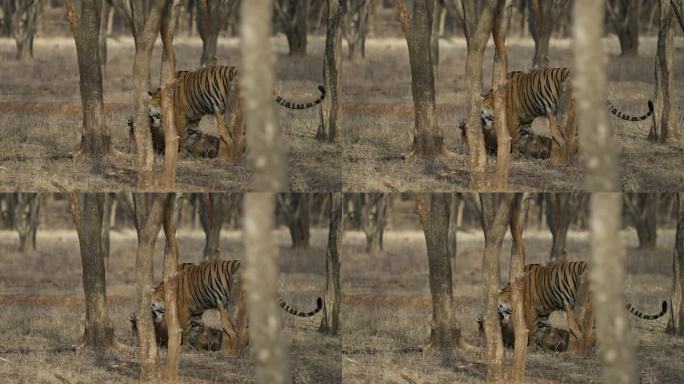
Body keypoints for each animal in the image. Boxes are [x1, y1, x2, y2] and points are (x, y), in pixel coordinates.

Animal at [145, 65, 326, 154]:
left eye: (148, 112)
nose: (148, 120)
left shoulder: (180, 116)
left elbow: (182, 136)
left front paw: (180, 155)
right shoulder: (194, 119)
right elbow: (192, 135)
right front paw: (189, 154)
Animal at [148, 260, 324, 346]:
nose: (150, 312)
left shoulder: (184, 309)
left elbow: (184, 328)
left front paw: (182, 347)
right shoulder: (196, 312)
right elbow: (193, 328)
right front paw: (191, 346)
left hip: (235, 302)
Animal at [468, 68, 656, 156]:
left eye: (480, 111)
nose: (475, 120)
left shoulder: (513, 117)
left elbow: (513, 137)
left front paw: (511, 155)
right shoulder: (525, 120)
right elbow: (523, 137)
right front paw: (522, 155)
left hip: (565, 108)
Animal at [494, 260, 664, 342]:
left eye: (498, 306)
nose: (497, 316)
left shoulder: (530, 309)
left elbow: (531, 328)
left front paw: (529, 348)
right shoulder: (543, 313)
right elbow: (541, 329)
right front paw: (538, 347)